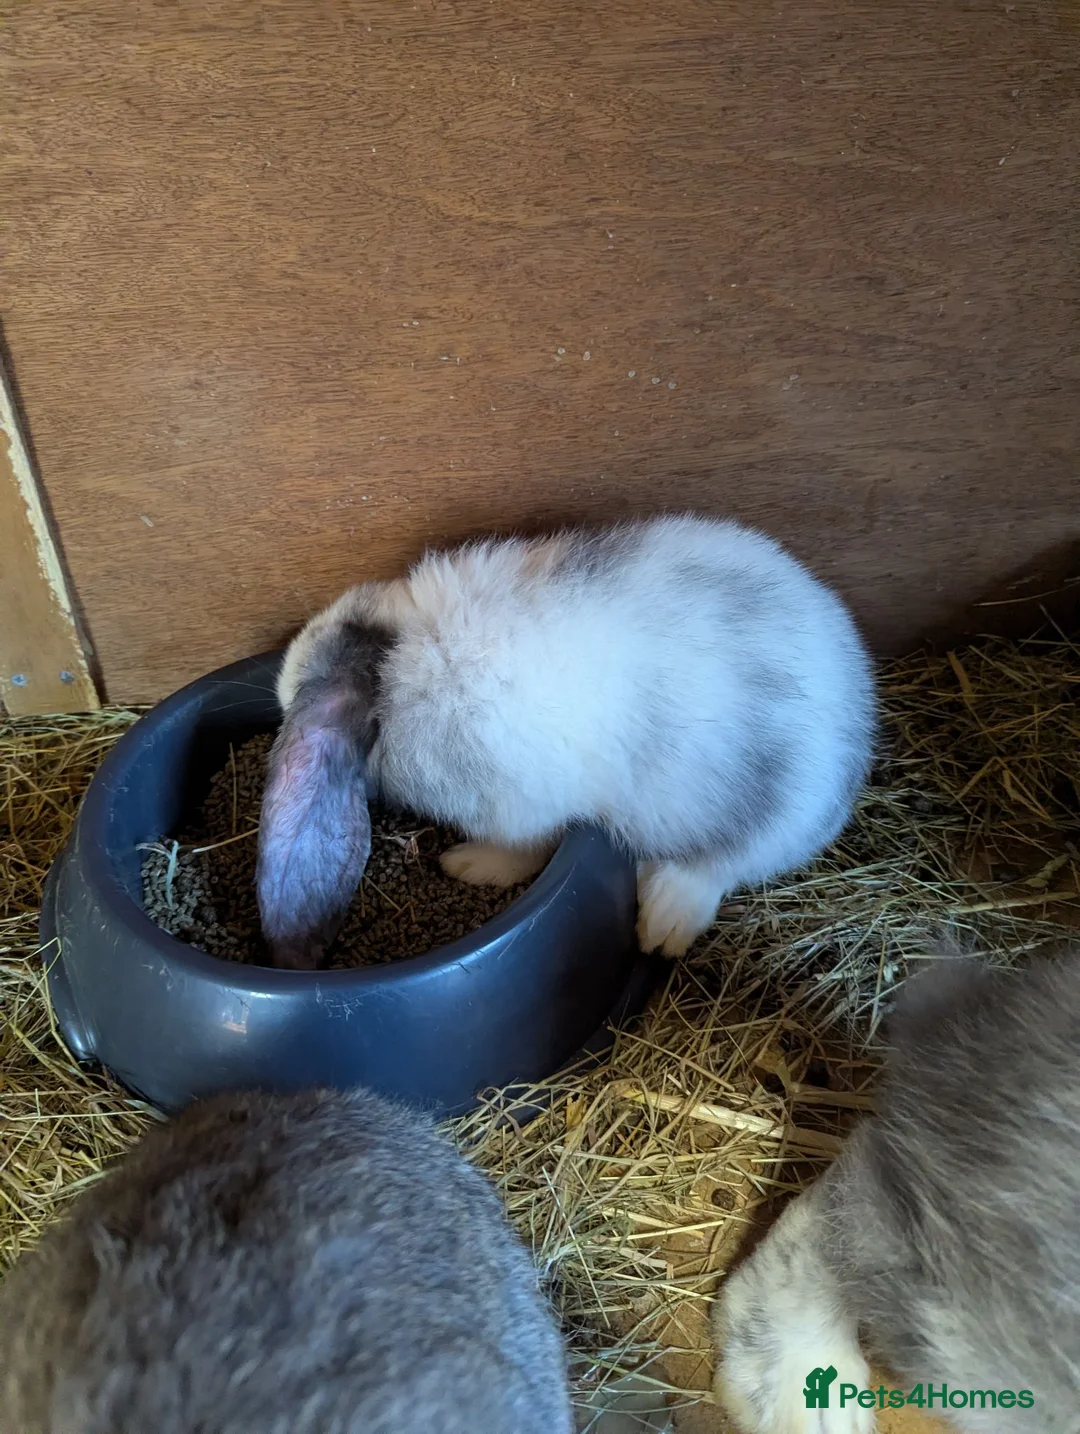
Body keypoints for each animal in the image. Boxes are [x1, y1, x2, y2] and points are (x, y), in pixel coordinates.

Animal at [256, 514, 876, 969]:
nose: (282, 684)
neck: (406, 670)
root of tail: (859, 698)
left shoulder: (523, 808)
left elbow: (525, 848)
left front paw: (467, 865)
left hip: (766, 817)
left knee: (721, 867)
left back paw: (662, 924)